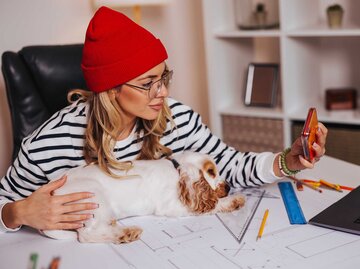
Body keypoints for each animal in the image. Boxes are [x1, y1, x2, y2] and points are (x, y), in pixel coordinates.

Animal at [43, 151, 245, 243]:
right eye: (211, 172)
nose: (228, 187)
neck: (177, 169)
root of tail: (52, 192)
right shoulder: (173, 206)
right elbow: (213, 205)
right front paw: (234, 200)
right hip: (94, 197)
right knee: (86, 235)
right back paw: (126, 233)